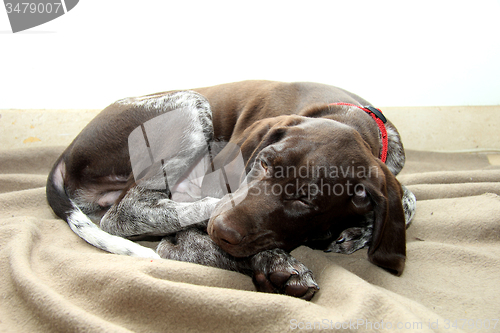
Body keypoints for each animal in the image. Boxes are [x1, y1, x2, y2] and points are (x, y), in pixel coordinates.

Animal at [47, 81, 416, 300]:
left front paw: (358, 229)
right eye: (263, 162)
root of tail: (68, 153)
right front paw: (275, 260)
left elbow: (407, 202)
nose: (222, 229)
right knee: (125, 215)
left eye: (306, 201)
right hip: (191, 105)